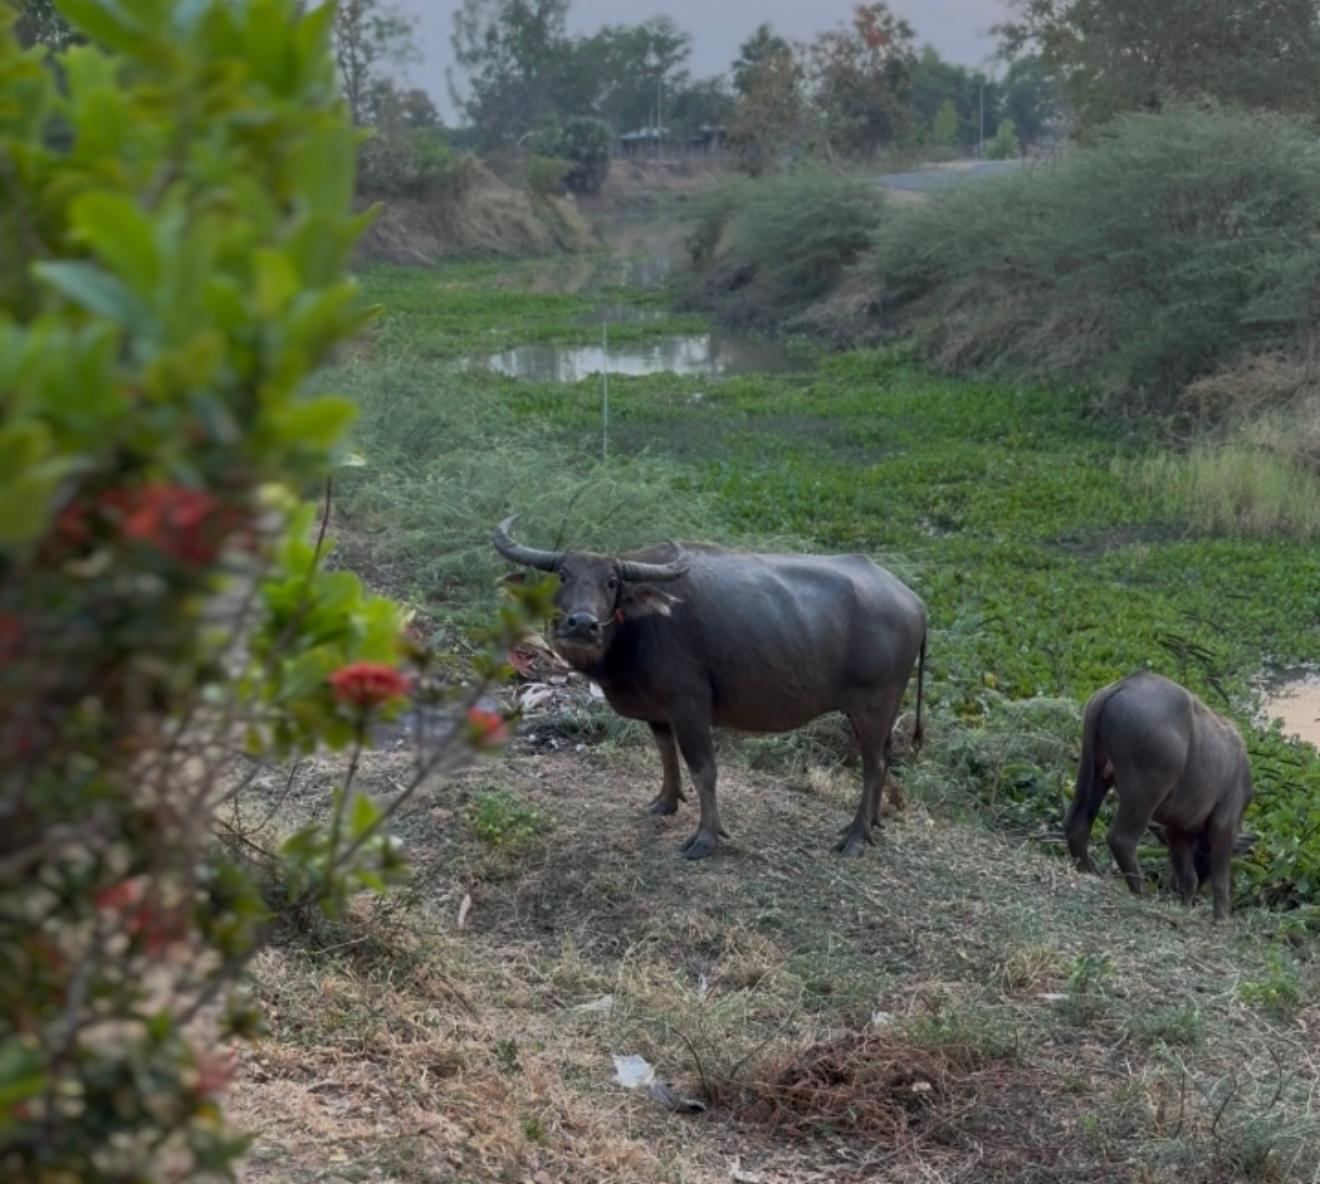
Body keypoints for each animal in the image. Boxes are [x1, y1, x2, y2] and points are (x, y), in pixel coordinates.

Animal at [491, 517, 924, 860]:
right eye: (562, 576)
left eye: (611, 582)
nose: (582, 624)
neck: (641, 628)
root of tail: (915, 602)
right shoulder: (657, 709)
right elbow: (666, 755)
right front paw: (665, 802)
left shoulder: (689, 705)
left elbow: (704, 770)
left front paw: (705, 837)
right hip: (875, 711)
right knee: (884, 757)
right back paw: (872, 823)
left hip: (873, 704)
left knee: (873, 765)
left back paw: (855, 837)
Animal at [1061, 670, 1256, 918]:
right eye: (1203, 856)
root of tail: (1124, 685)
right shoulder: (1224, 824)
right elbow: (1220, 881)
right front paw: (1220, 917)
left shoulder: (1176, 830)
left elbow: (1188, 877)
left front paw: (1185, 905)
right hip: (1144, 793)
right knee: (1121, 838)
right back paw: (1141, 891)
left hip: (1092, 769)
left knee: (1077, 823)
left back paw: (1088, 870)